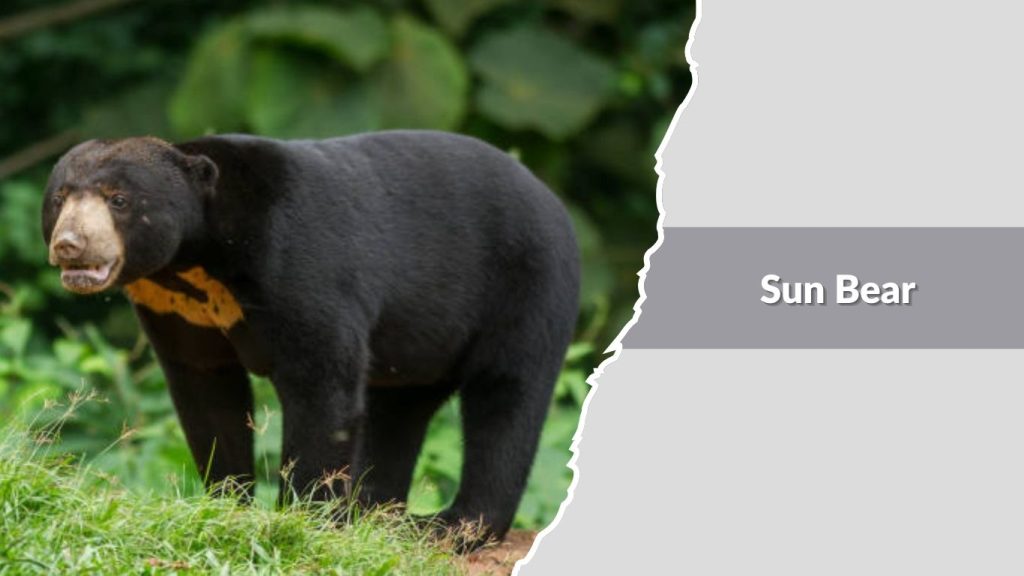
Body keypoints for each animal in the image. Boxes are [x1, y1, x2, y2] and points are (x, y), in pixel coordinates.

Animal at [41, 131, 580, 546]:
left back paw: (454, 526)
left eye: (119, 199)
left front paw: (303, 517)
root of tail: (553, 200)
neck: (196, 260)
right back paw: (374, 511)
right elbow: (206, 393)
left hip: (525, 286)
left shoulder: (297, 263)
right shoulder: (174, 308)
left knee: (505, 398)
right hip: (422, 340)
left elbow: (321, 383)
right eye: (61, 198)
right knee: (399, 408)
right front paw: (227, 501)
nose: (70, 245)